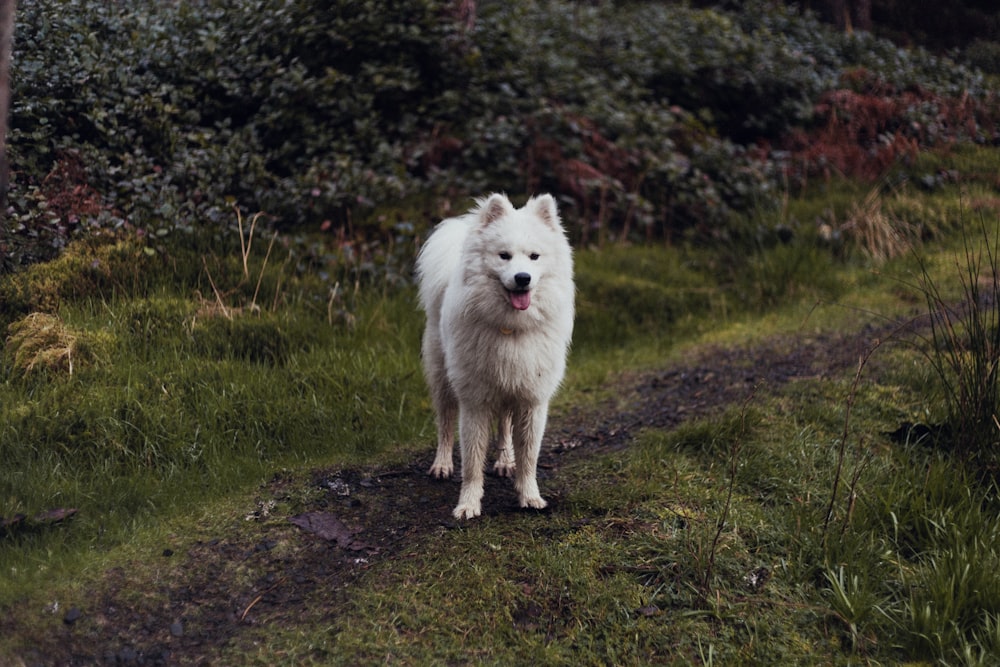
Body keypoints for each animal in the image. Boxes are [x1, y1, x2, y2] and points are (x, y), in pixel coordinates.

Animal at [416, 193, 576, 520]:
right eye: (504, 256)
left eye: (534, 256)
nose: (523, 278)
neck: (511, 328)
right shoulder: (474, 402)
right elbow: (472, 462)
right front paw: (468, 504)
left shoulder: (531, 399)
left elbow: (529, 458)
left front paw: (529, 496)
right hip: (443, 379)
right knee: (444, 423)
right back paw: (442, 464)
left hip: (506, 390)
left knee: (503, 425)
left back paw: (504, 461)